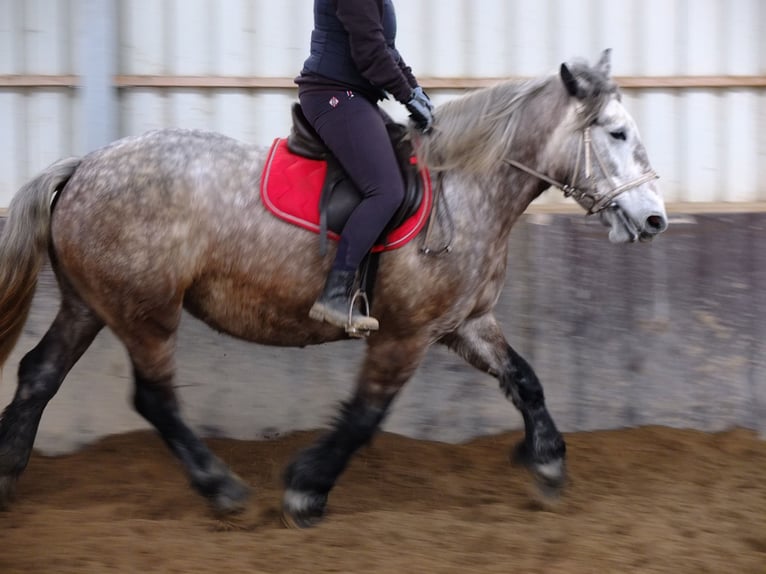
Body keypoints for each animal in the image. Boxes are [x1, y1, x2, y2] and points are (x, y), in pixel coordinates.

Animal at [0, 51, 664, 528]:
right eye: (616, 133)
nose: (655, 219)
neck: (468, 188)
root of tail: (81, 167)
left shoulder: (465, 324)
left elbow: (525, 380)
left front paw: (548, 465)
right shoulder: (406, 334)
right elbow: (366, 414)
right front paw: (305, 491)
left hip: (91, 304)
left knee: (39, 373)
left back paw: (9, 472)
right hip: (146, 313)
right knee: (154, 399)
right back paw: (223, 491)